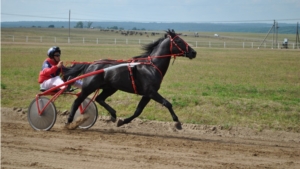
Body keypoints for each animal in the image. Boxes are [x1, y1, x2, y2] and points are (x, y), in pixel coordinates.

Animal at [65, 29, 197, 129]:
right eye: (179, 40)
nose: (193, 52)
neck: (151, 67)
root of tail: (92, 64)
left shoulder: (147, 94)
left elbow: (138, 111)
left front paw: (122, 121)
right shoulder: (151, 92)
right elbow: (167, 103)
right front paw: (177, 122)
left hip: (110, 88)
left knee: (99, 98)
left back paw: (113, 115)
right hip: (90, 86)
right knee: (78, 101)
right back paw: (70, 120)